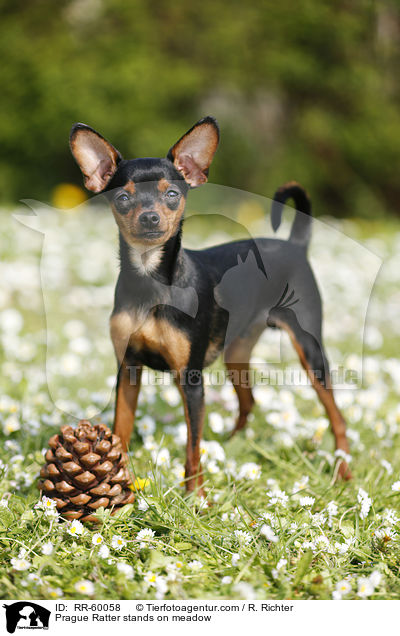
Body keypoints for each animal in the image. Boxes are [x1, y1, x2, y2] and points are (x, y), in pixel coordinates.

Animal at [70, 115, 352, 492]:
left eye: (172, 194)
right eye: (124, 198)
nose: (149, 217)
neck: (150, 281)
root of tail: (295, 245)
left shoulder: (190, 380)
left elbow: (192, 448)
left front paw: (197, 497)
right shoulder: (128, 369)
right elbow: (121, 431)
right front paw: (119, 484)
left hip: (310, 350)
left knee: (337, 416)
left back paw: (343, 471)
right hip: (237, 351)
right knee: (249, 400)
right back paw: (233, 445)